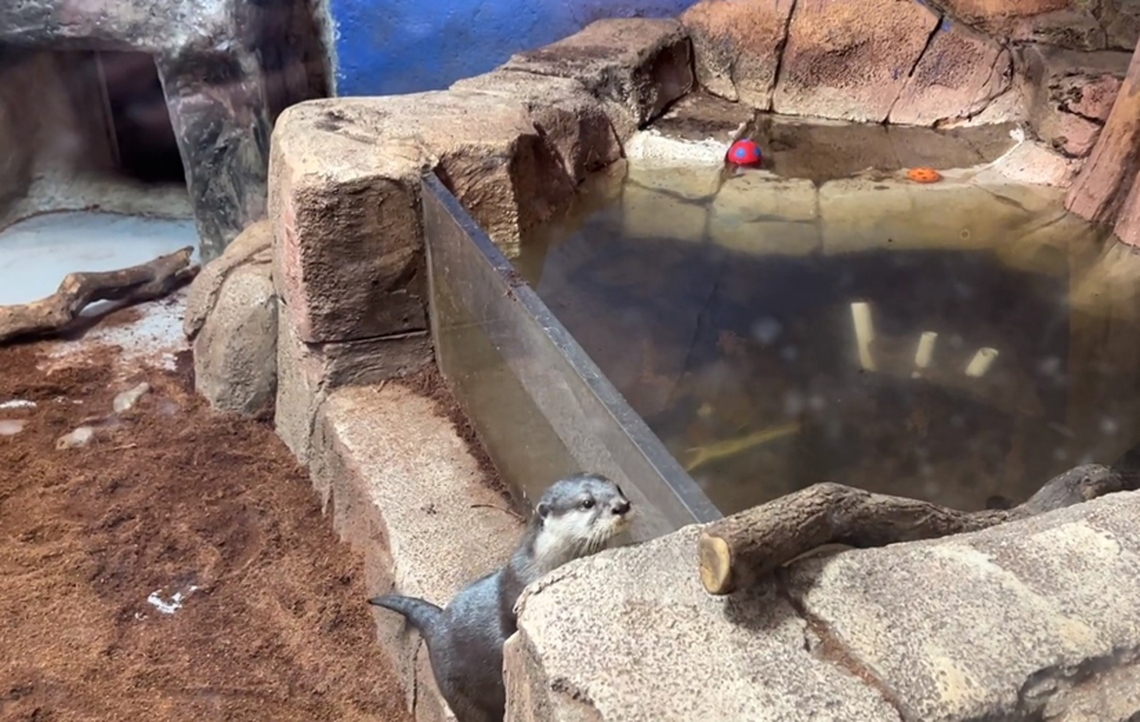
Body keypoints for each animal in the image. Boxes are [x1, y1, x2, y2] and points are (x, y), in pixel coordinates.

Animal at [368, 472, 633, 722]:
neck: (540, 566)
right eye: (587, 502)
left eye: (618, 487)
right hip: (458, 693)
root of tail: (437, 625)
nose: (622, 506)